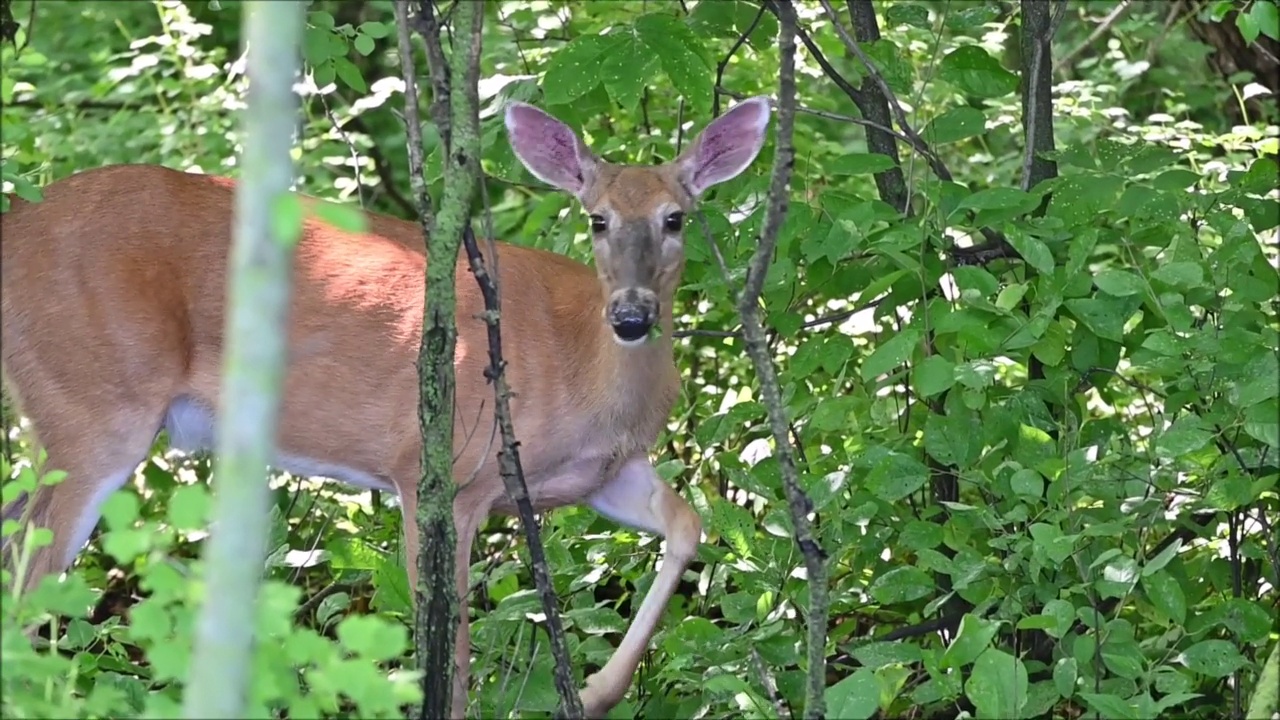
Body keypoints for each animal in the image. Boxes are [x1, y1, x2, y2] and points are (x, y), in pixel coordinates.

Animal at [0, 94, 768, 712]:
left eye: (676, 218)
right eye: (598, 220)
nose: (632, 316)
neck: (586, 370)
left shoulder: (600, 473)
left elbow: (688, 524)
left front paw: (600, 689)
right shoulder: (442, 469)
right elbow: (448, 652)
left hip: (57, 417)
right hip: (96, 403)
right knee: (30, 585)